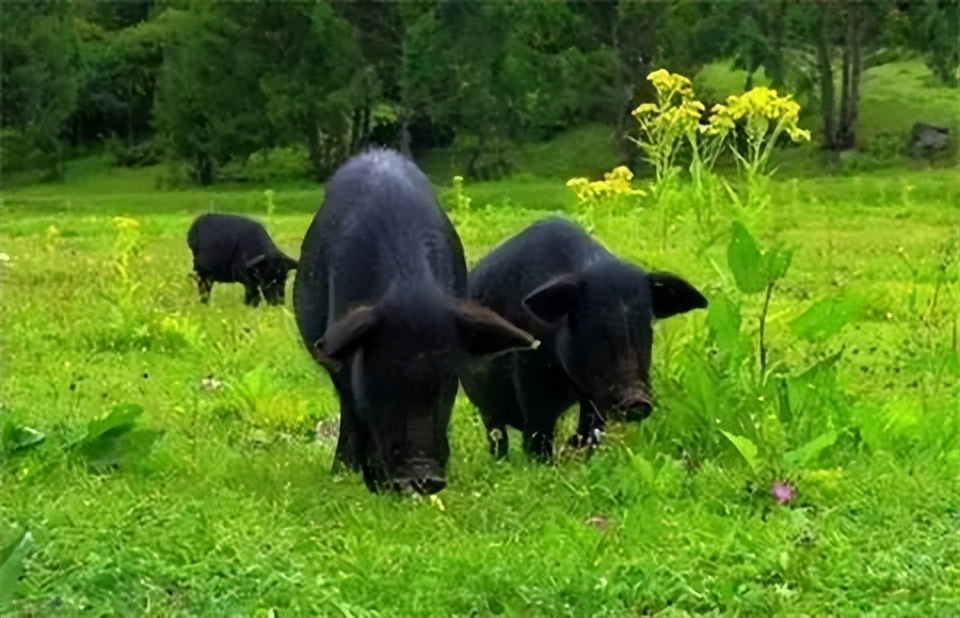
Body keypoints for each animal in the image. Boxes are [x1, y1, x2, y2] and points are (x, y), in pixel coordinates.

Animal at [462, 217, 708, 462]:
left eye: (646, 327)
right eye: (594, 326)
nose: (636, 400)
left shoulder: (594, 397)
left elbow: (591, 430)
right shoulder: (529, 378)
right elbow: (537, 434)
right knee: (496, 432)